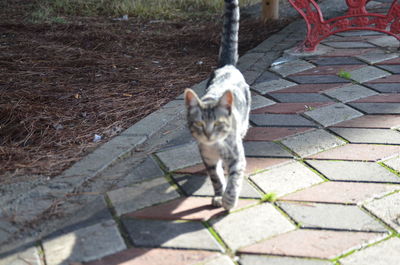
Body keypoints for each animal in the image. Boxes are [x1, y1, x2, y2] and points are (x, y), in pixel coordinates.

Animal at [184, 0, 250, 210]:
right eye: (199, 124)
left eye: (219, 123)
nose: (208, 134)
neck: (215, 147)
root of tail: (227, 66)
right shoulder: (208, 159)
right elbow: (216, 178)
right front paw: (218, 196)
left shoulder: (236, 157)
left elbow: (233, 180)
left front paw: (228, 201)